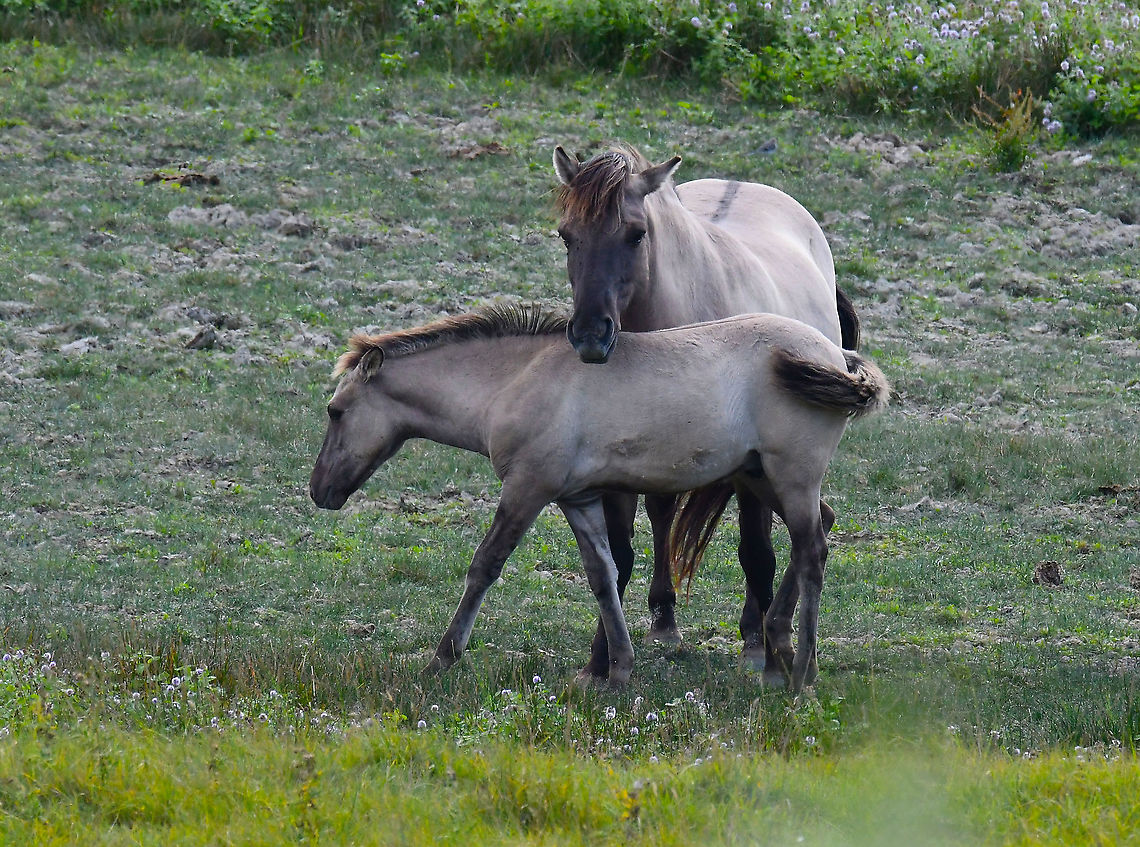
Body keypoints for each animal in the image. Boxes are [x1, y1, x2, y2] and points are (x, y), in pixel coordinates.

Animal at [308, 304, 888, 692]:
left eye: (336, 411)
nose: (320, 491)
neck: (514, 381)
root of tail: (837, 354)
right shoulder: (578, 499)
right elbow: (604, 575)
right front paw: (618, 671)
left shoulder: (528, 488)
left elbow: (485, 566)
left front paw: (442, 658)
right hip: (762, 477)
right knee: (821, 529)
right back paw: (779, 650)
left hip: (791, 475)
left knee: (813, 552)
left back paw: (802, 673)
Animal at [552, 144, 861, 678]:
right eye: (566, 235)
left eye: (636, 234)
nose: (590, 335)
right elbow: (617, 555)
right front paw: (601, 658)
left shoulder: (749, 469)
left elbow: (757, 552)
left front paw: (759, 647)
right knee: (664, 514)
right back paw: (665, 616)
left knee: (802, 535)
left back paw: (769, 631)